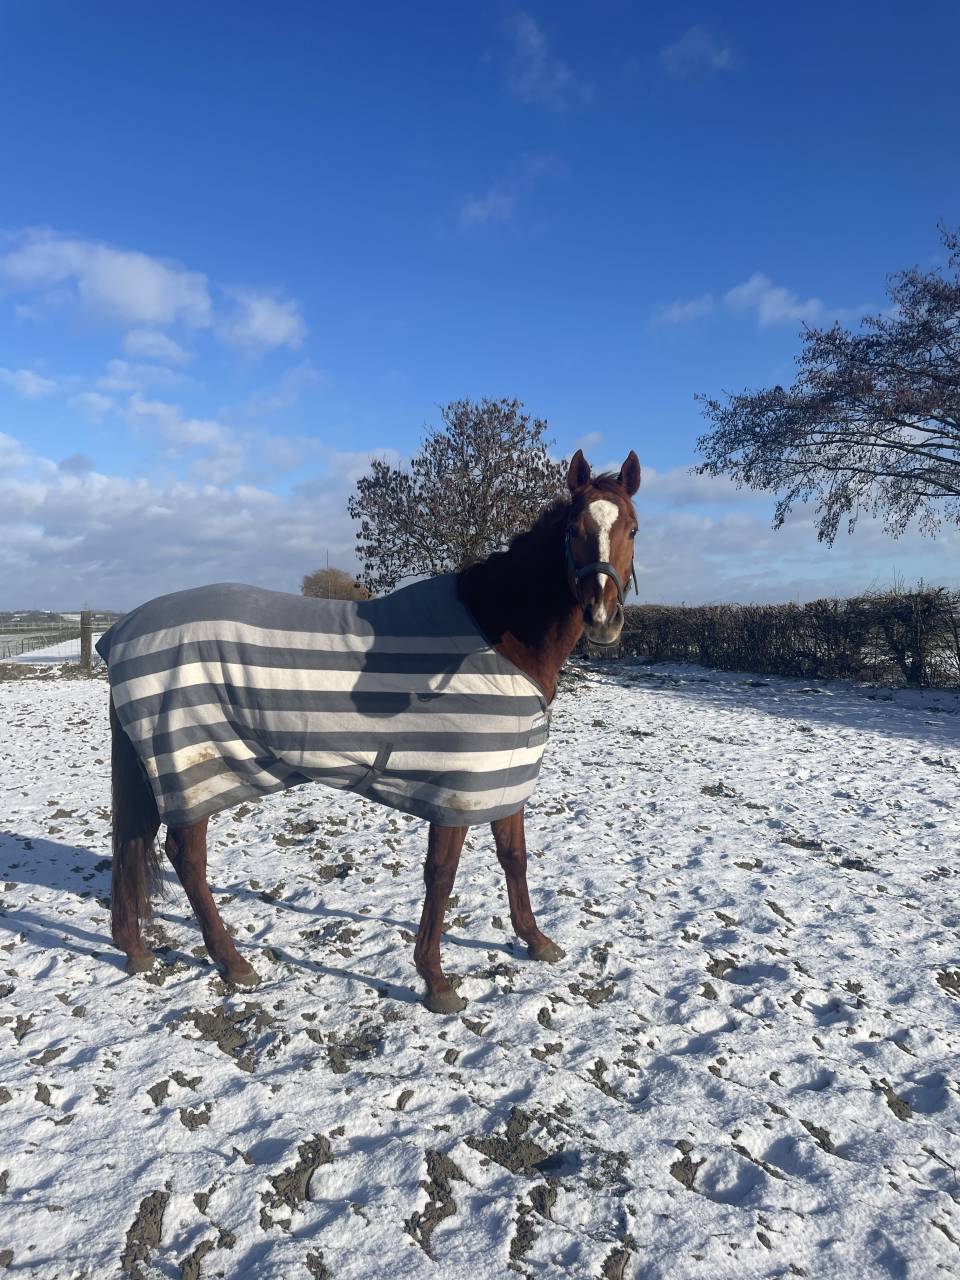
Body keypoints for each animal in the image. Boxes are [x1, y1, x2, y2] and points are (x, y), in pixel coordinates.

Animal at [103, 448, 641, 1014]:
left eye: (631, 528)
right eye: (575, 530)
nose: (603, 619)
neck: (497, 636)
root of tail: (123, 630)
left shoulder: (503, 776)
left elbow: (514, 858)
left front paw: (535, 941)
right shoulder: (456, 789)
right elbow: (441, 875)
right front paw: (436, 980)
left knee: (135, 843)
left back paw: (136, 948)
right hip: (194, 769)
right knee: (186, 858)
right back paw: (233, 963)